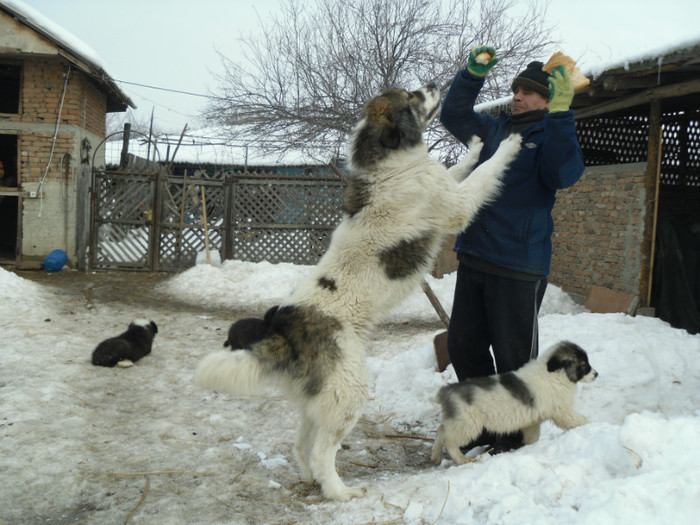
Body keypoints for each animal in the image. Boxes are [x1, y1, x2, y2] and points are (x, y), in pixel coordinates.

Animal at [430, 340, 600, 466]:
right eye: (584, 365)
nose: (596, 374)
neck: (554, 374)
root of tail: (446, 391)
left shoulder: (532, 422)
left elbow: (532, 438)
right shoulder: (562, 412)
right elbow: (579, 419)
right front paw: (592, 425)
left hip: (459, 422)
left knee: (441, 430)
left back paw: (435, 457)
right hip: (469, 424)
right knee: (448, 440)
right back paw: (461, 460)